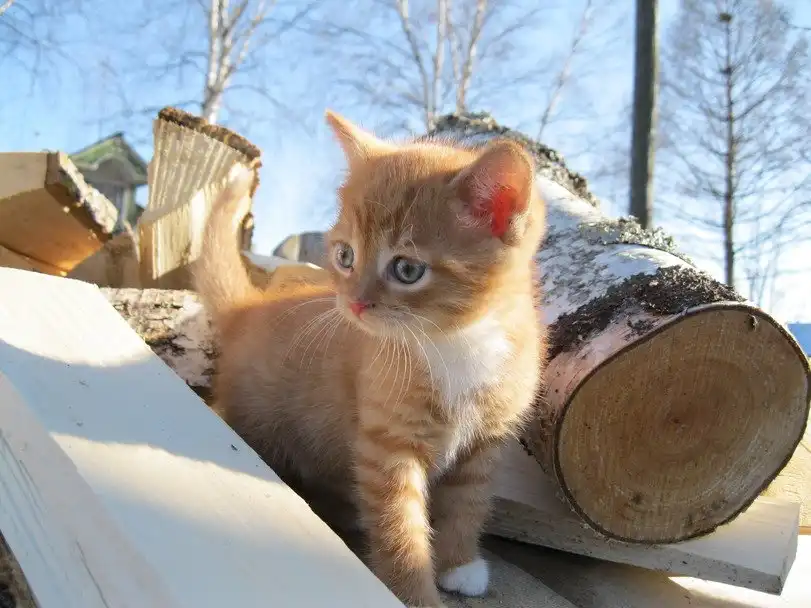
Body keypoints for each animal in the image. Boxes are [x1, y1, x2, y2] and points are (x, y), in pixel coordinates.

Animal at [193, 111, 548, 608]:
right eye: (345, 255)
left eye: (407, 269)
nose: (354, 304)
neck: (456, 341)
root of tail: (248, 310)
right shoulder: (388, 444)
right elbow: (399, 526)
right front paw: (415, 594)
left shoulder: (486, 441)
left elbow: (468, 500)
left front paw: (459, 563)